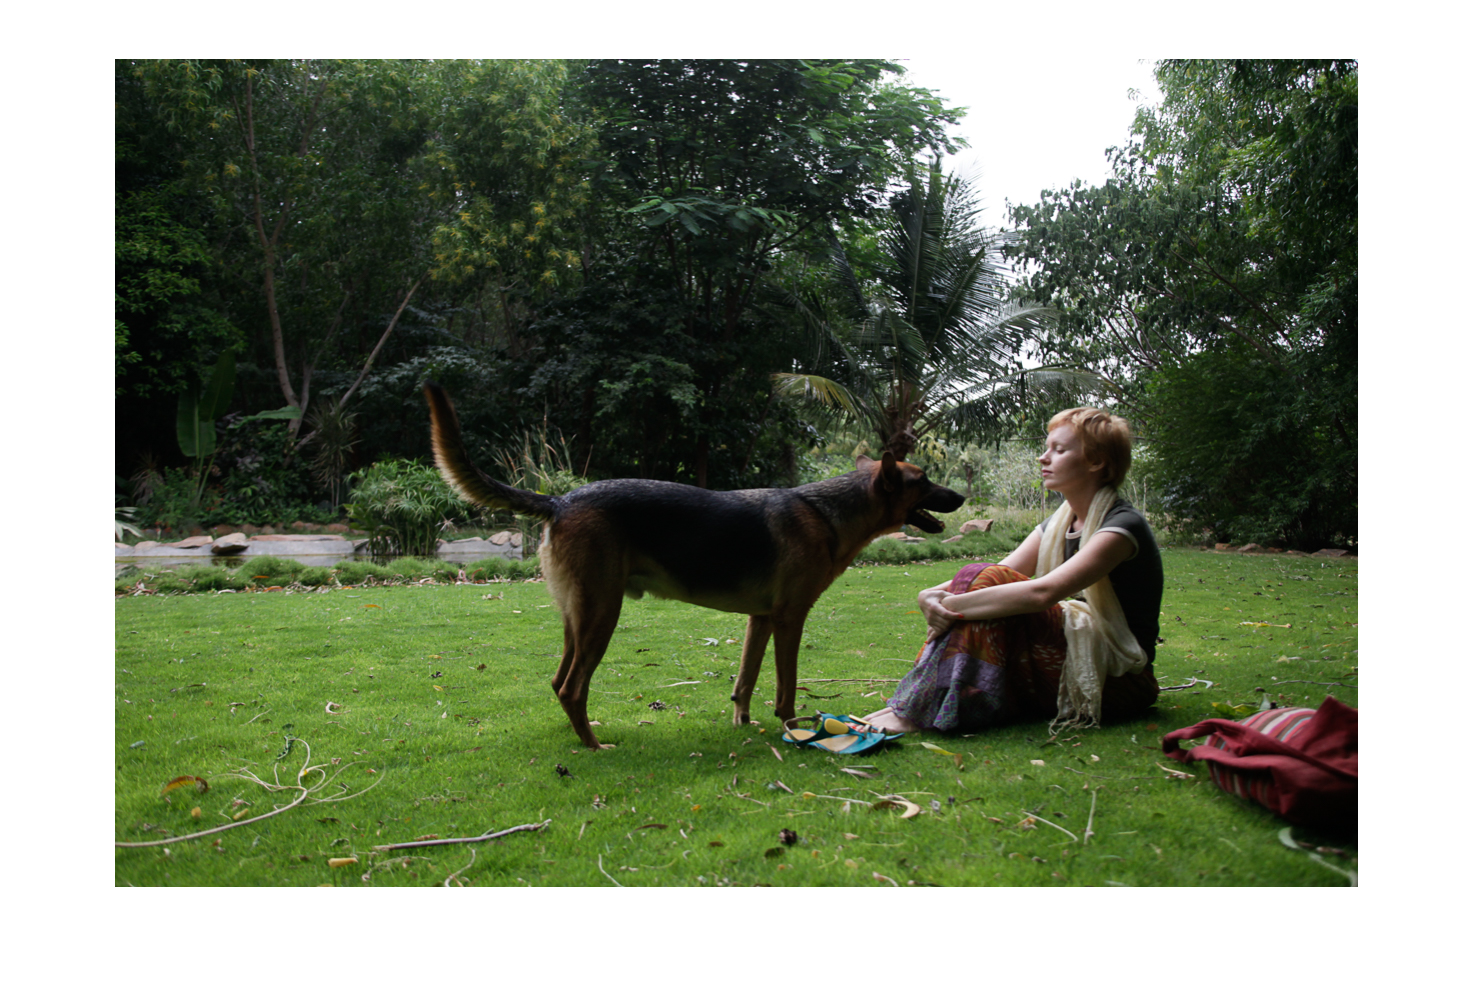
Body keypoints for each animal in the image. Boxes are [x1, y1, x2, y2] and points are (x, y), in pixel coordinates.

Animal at [424, 381, 965, 749]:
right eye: (924, 480)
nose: (961, 496)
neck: (828, 513)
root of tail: (560, 499)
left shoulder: (760, 620)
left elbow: (744, 680)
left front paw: (742, 723)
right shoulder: (789, 619)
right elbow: (786, 687)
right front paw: (794, 729)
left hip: (577, 619)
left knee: (559, 682)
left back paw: (581, 736)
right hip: (602, 615)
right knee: (574, 687)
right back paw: (595, 746)